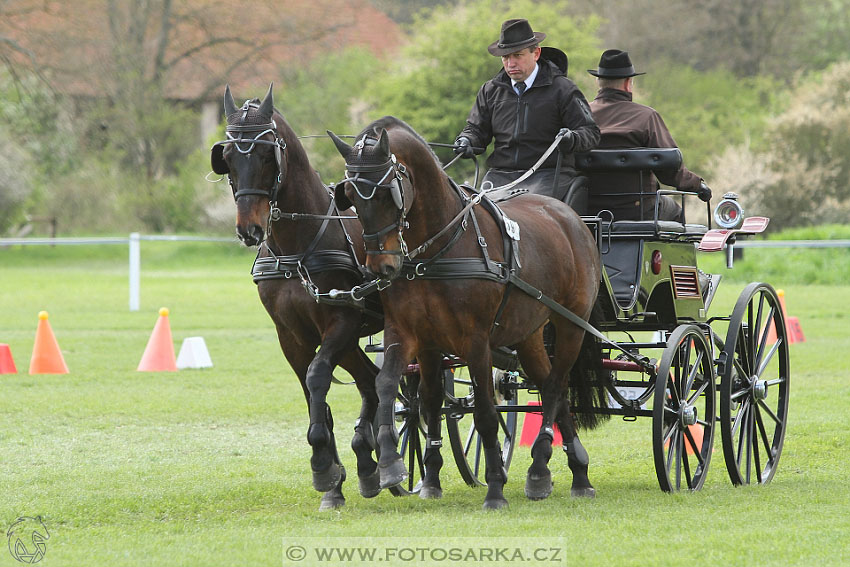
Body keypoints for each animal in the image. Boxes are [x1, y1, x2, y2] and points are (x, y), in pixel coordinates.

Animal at [210, 86, 382, 512]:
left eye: (265, 154)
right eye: (228, 157)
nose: (250, 229)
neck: (297, 248)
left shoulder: (341, 322)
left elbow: (318, 376)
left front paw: (322, 464)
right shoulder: (292, 334)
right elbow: (312, 394)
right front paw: (333, 480)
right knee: (372, 381)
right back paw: (373, 462)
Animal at [328, 116, 608, 510]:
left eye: (386, 194)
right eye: (350, 197)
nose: (381, 267)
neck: (438, 248)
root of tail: (571, 218)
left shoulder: (475, 340)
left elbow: (486, 412)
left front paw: (494, 487)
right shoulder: (413, 335)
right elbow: (406, 394)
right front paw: (401, 467)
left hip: (570, 325)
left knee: (555, 387)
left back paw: (541, 467)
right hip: (529, 335)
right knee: (553, 387)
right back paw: (574, 472)